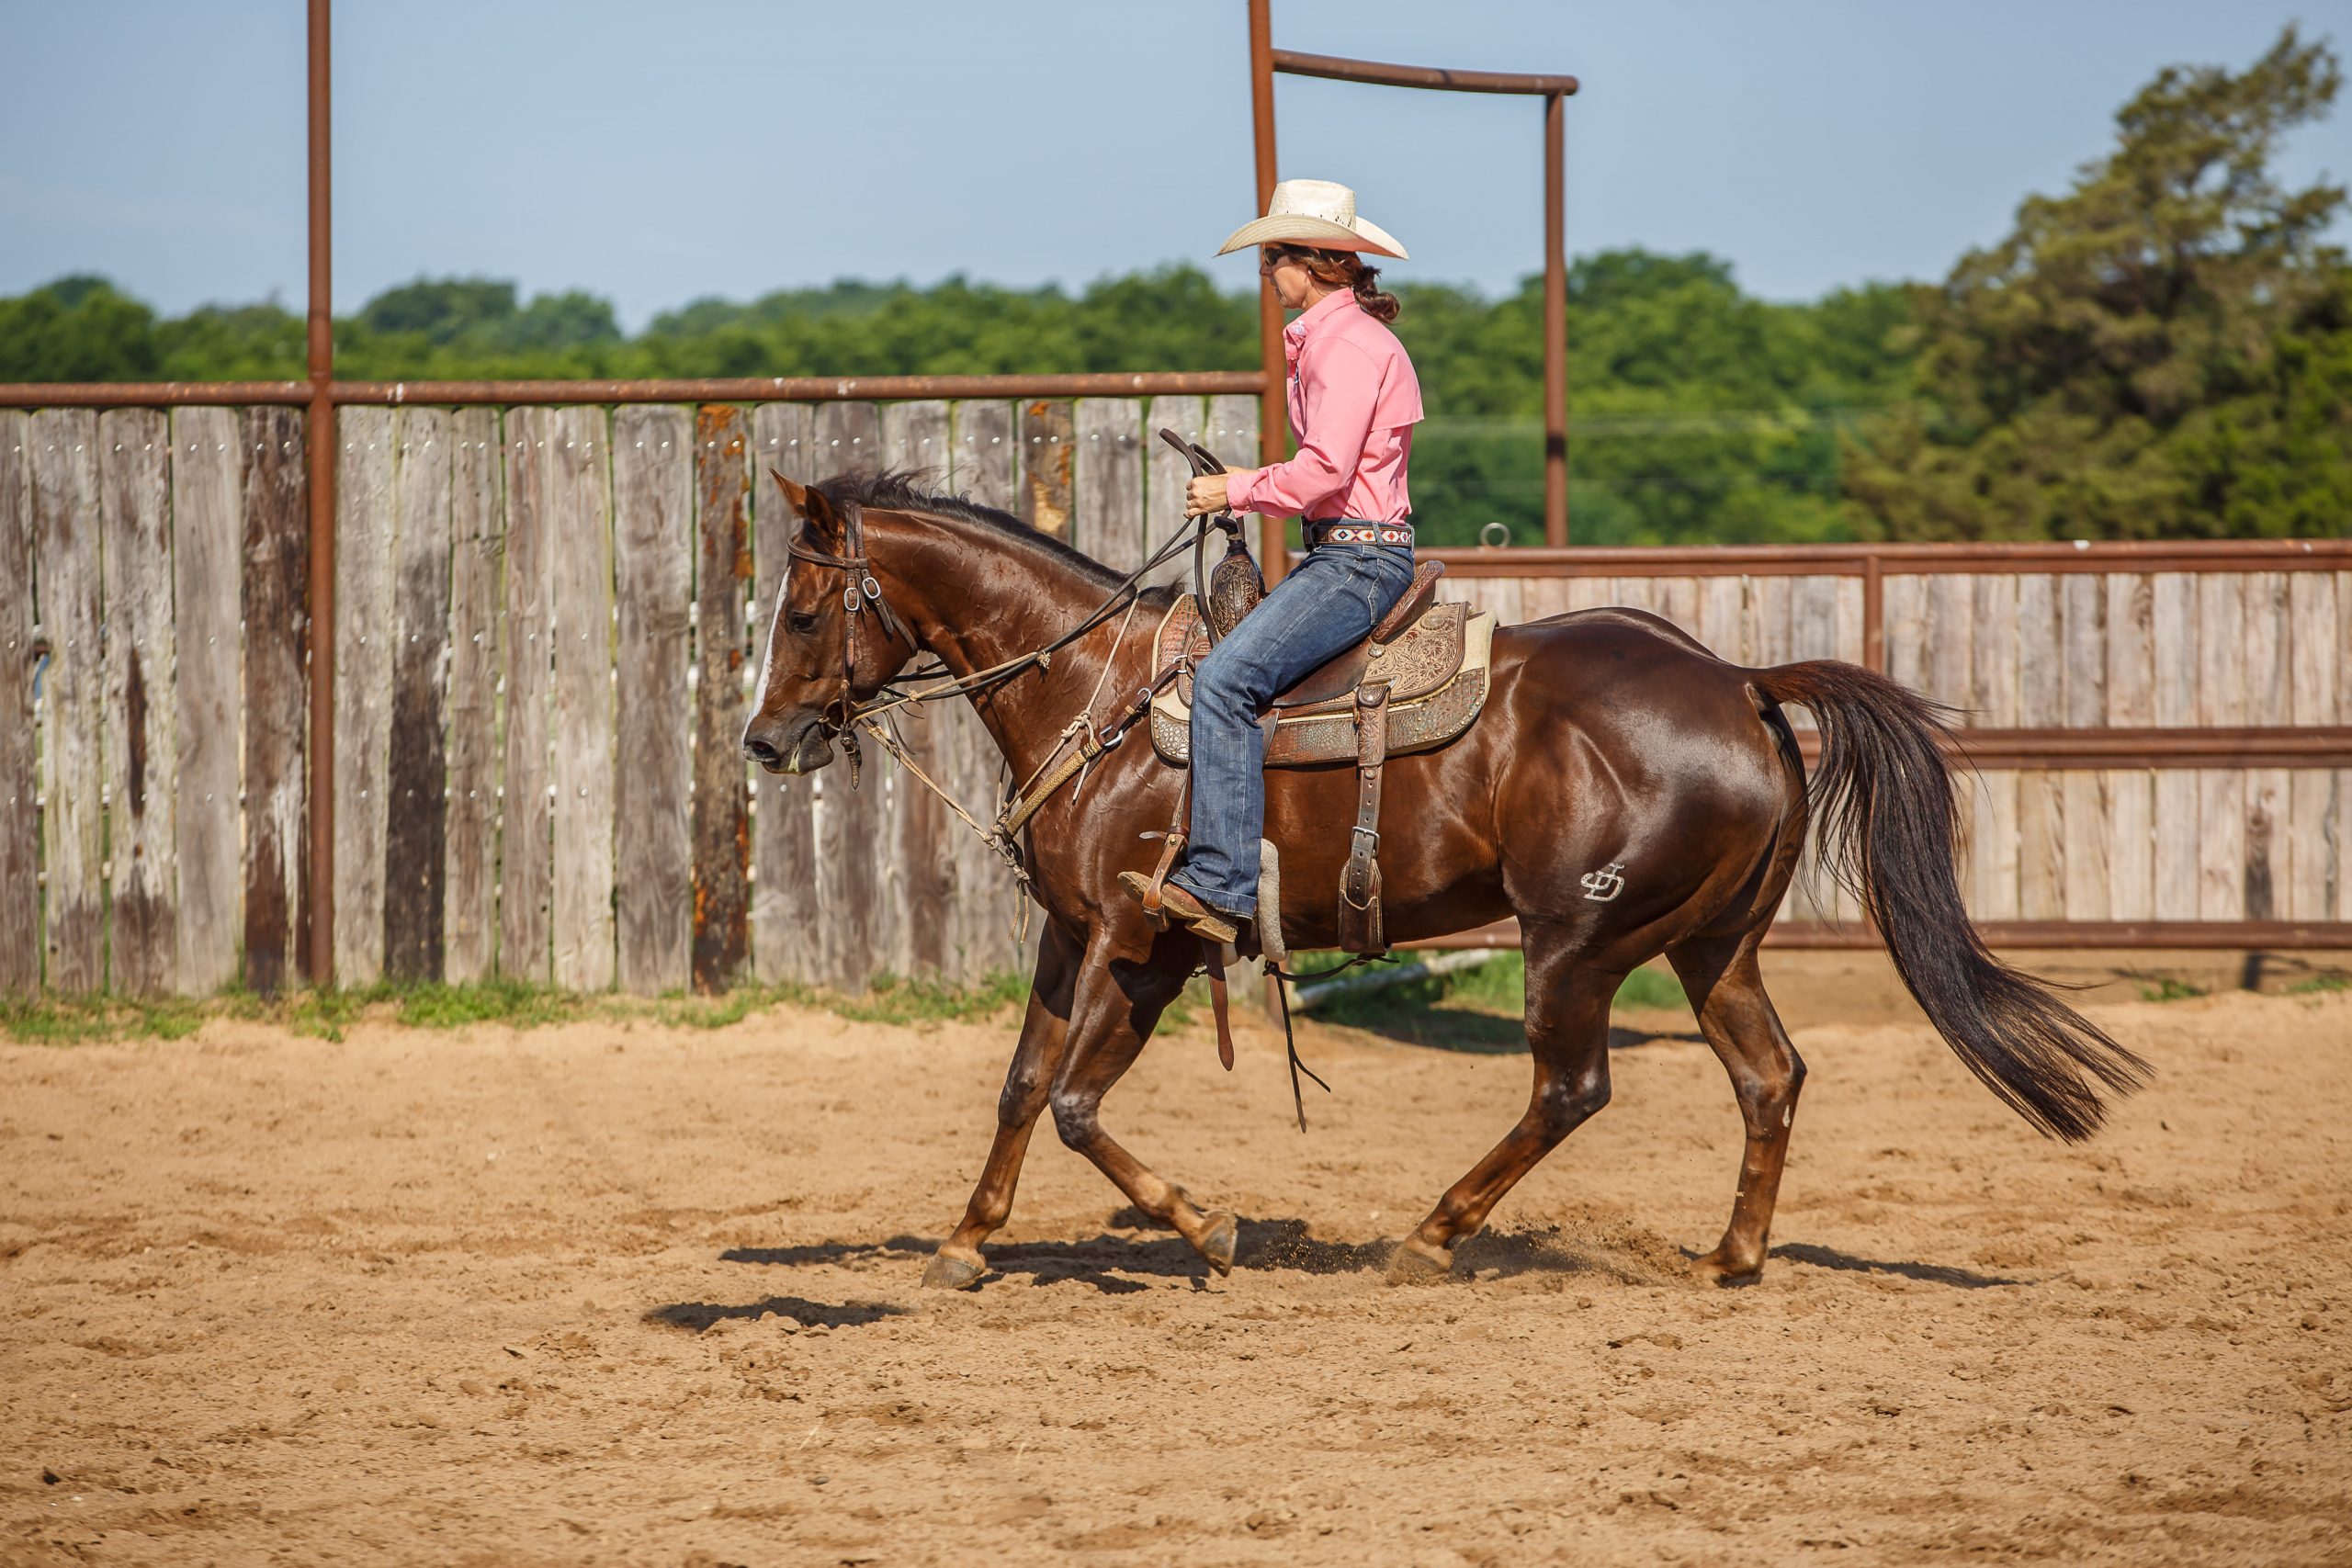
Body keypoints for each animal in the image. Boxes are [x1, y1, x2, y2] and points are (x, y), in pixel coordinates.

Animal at [740, 470, 2150, 1290]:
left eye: (803, 613)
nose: (764, 741)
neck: (1098, 691)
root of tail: (1740, 683)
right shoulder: (1069, 932)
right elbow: (1027, 1084)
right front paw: (965, 1241)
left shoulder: (1143, 942)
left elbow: (1081, 1103)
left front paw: (1207, 1229)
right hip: (1712, 945)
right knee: (1769, 1075)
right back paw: (1730, 1257)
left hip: (1575, 942)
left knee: (1572, 1087)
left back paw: (1430, 1236)